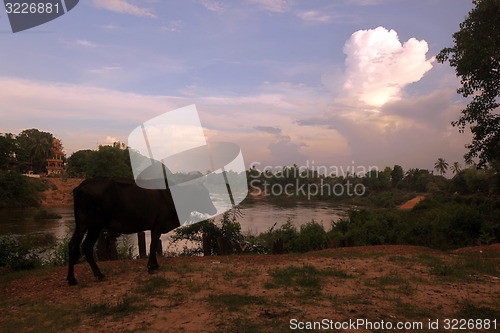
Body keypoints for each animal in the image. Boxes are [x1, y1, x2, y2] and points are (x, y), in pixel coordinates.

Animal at [66, 176, 215, 286]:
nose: (214, 209)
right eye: (203, 193)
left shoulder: (156, 227)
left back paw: (71, 279)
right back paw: (99, 275)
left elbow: (154, 245)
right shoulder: (158, 224)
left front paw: (155, 265)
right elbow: (153, 245)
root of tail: (81, 185)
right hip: (95, 224)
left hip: (81, 223)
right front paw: (151, 267)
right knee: (86, 246)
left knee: (73, 244)